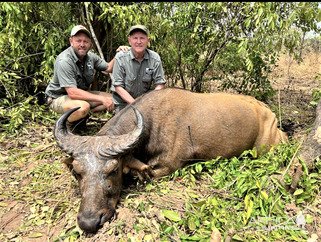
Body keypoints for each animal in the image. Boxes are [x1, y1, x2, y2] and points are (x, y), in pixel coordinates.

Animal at [53, 87, 286, 233]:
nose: (89, 222)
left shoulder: (169, 166)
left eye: (113, 170)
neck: (153, 121)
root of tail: (269, 113)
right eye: (77, 172)